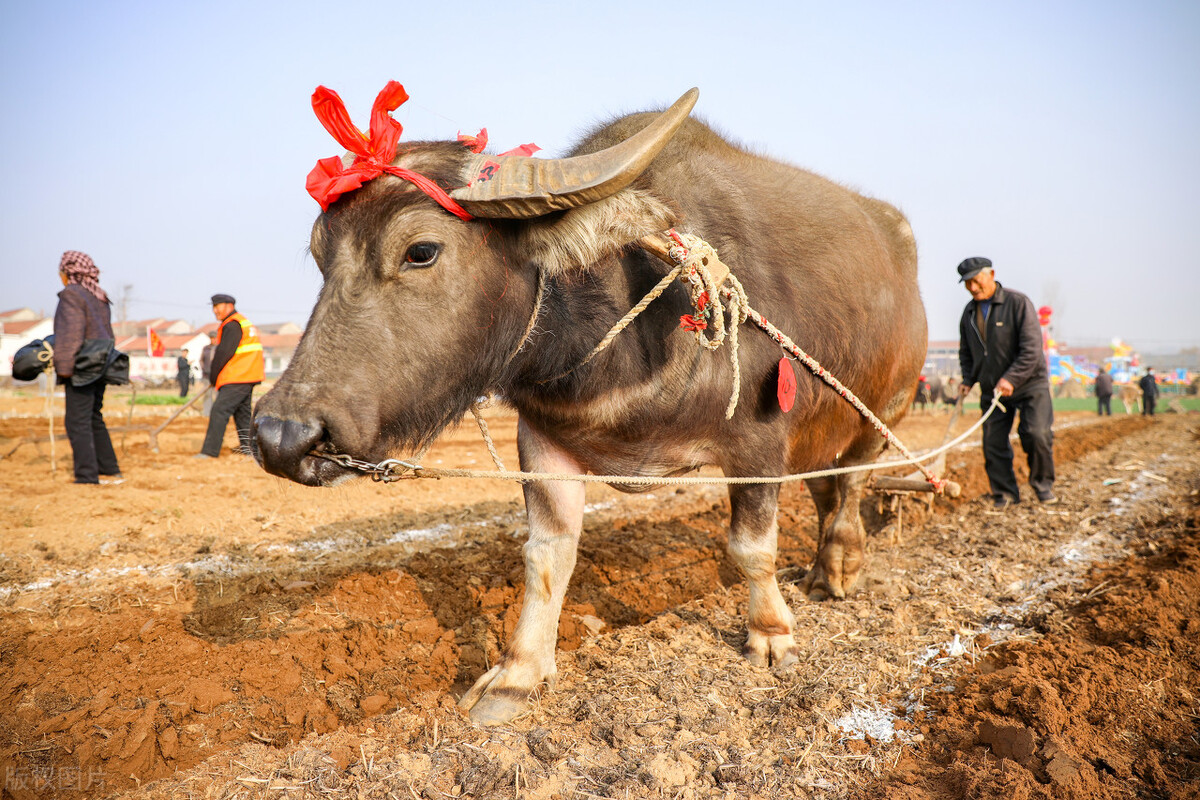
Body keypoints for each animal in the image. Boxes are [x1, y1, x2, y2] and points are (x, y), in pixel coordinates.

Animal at [255, 86, 926, 724]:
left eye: (420, 250)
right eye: (321, 256)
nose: (280, 434)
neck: (631, 327)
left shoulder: (760, 442)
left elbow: (751, 548)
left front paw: (771, 635)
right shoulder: (542, 444)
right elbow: (546, 557)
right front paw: (519, 674)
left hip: (886, 406)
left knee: (855, 481)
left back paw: (839, 566)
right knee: (826, 487)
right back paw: (819, 568)